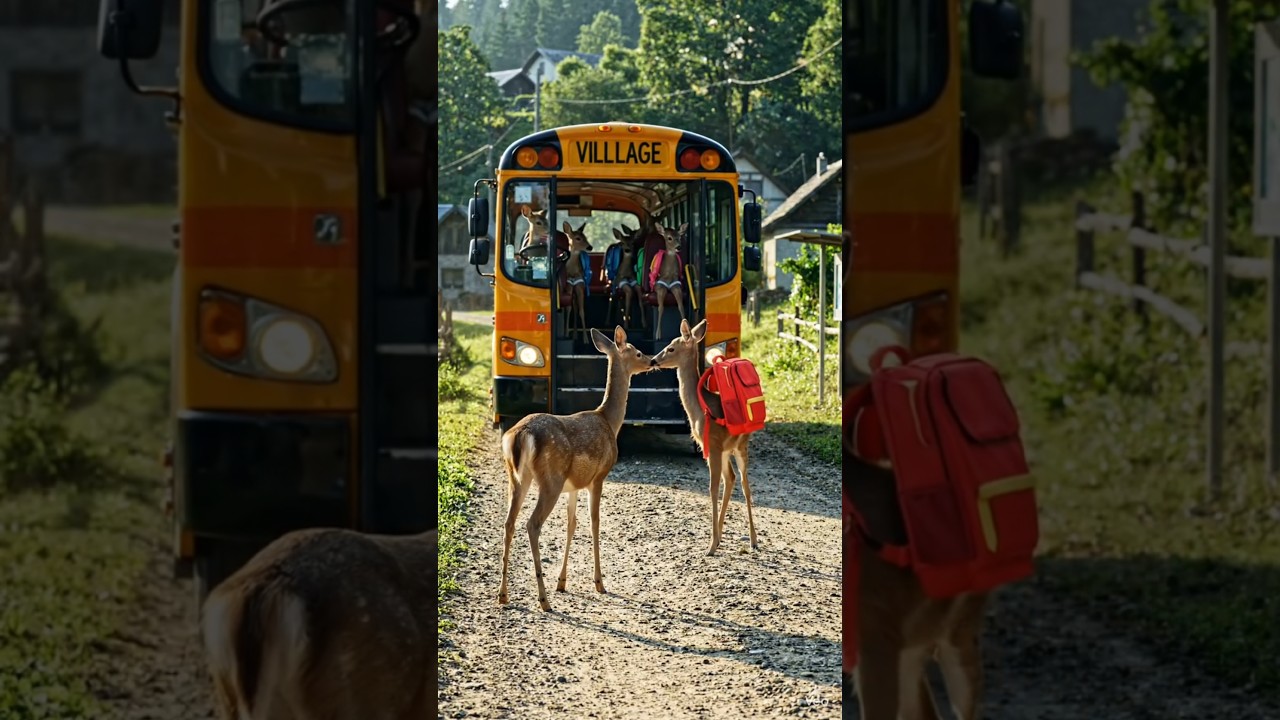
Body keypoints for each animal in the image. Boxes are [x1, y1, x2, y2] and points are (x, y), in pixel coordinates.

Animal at [498, 325, 654, 611]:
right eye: (637, 352)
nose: (652, 361)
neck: (609, 421)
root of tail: (521, 434)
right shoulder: (599, 476)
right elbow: (594, 522)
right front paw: (599, 583)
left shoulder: (574, 486)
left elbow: (571, 524)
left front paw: (562, 582)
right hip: (551, 478)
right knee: (532, 524)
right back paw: (543, 600)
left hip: (517, 477)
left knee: (509, 522)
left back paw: (503, 595)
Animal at [650, 318, 757, 555]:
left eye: (671, 348)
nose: (653, 360)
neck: (700, 409)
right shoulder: (711, 448)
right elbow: (717, 485)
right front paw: (714, 541)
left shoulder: (713, 446)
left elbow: (712, 488)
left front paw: (710, 546)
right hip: (727, 450)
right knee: (732, 478)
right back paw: (722, 537)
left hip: (740, 446)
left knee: (745, 484)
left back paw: (753, 541)